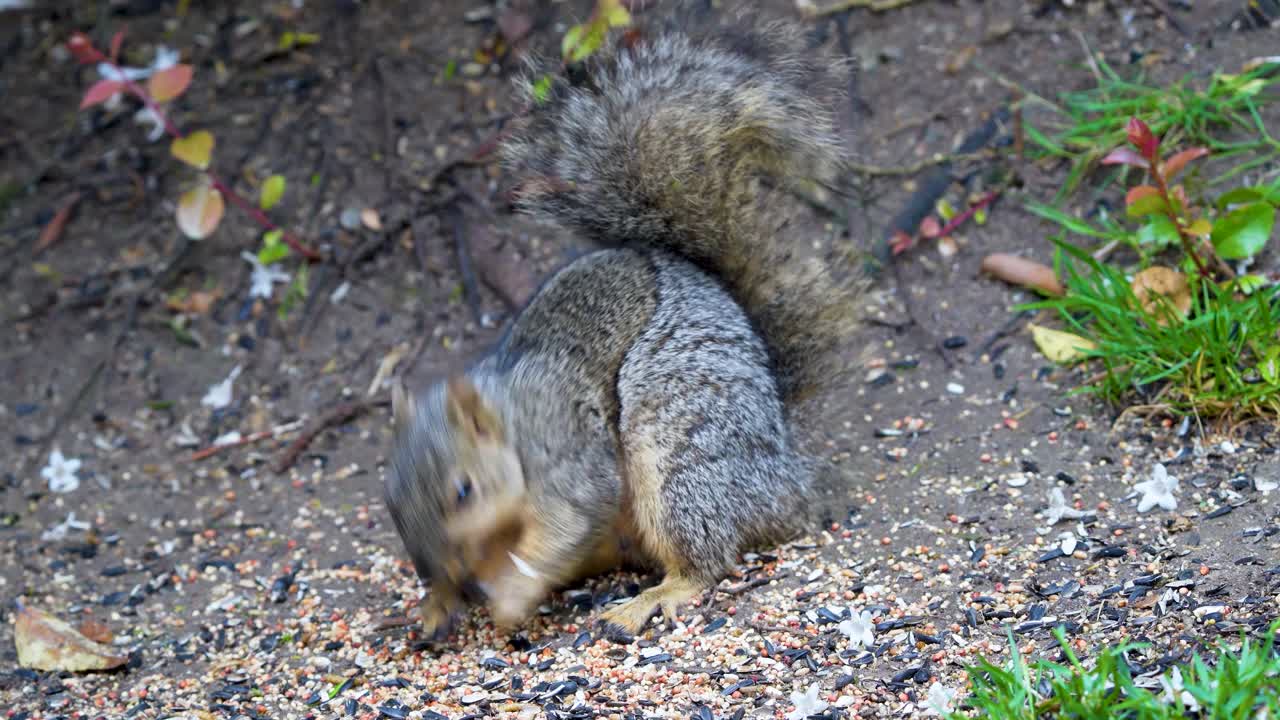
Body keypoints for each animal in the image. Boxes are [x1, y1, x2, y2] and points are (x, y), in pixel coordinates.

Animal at [385, 5, 862, 639]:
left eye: (464, 490)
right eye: (390, 498)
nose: (432, 569)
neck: (511, 428)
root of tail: (785, 473)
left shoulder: (567, 453)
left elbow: (567, 521)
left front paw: (507, 601)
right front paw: (438, 602)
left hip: (679, 456)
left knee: (705, 557)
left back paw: (651, 598)